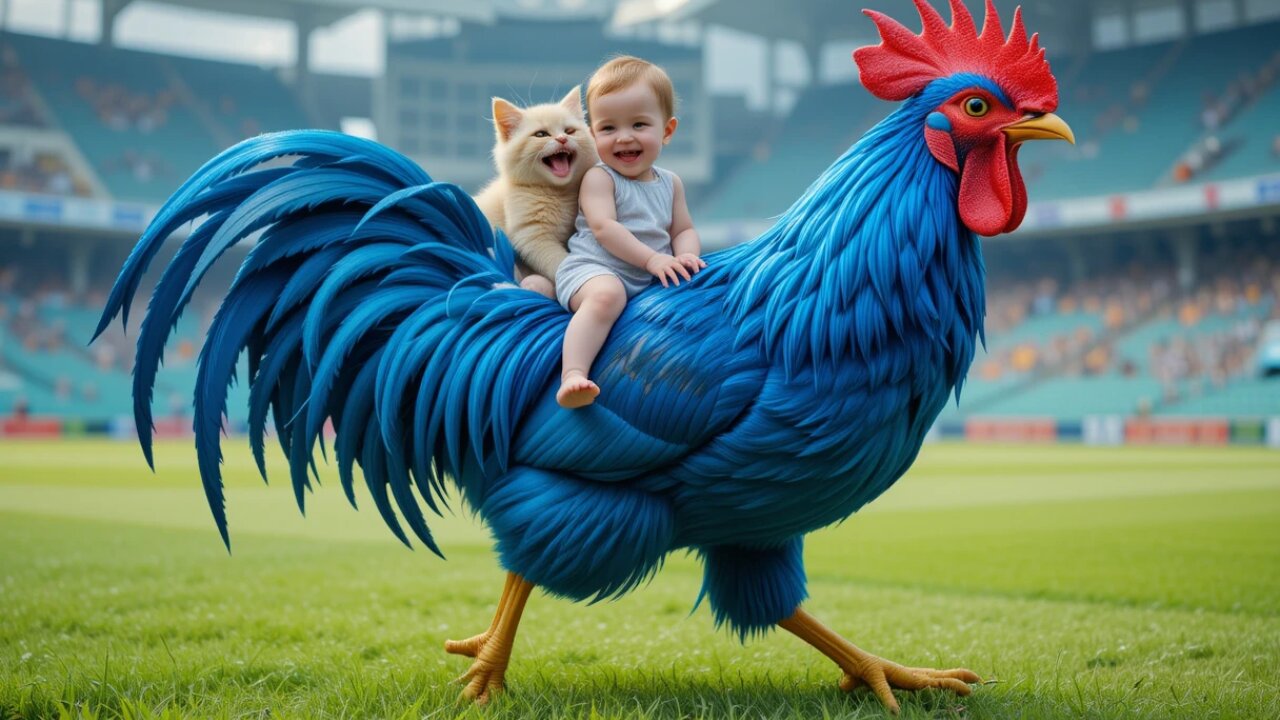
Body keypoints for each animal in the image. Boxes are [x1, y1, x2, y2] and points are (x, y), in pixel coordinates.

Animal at [473, 87, 596, 292]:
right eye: (540, 135)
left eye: (569, 131)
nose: (562, 139)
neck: (558, 192)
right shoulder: (530, 235)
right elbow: (558, 262)